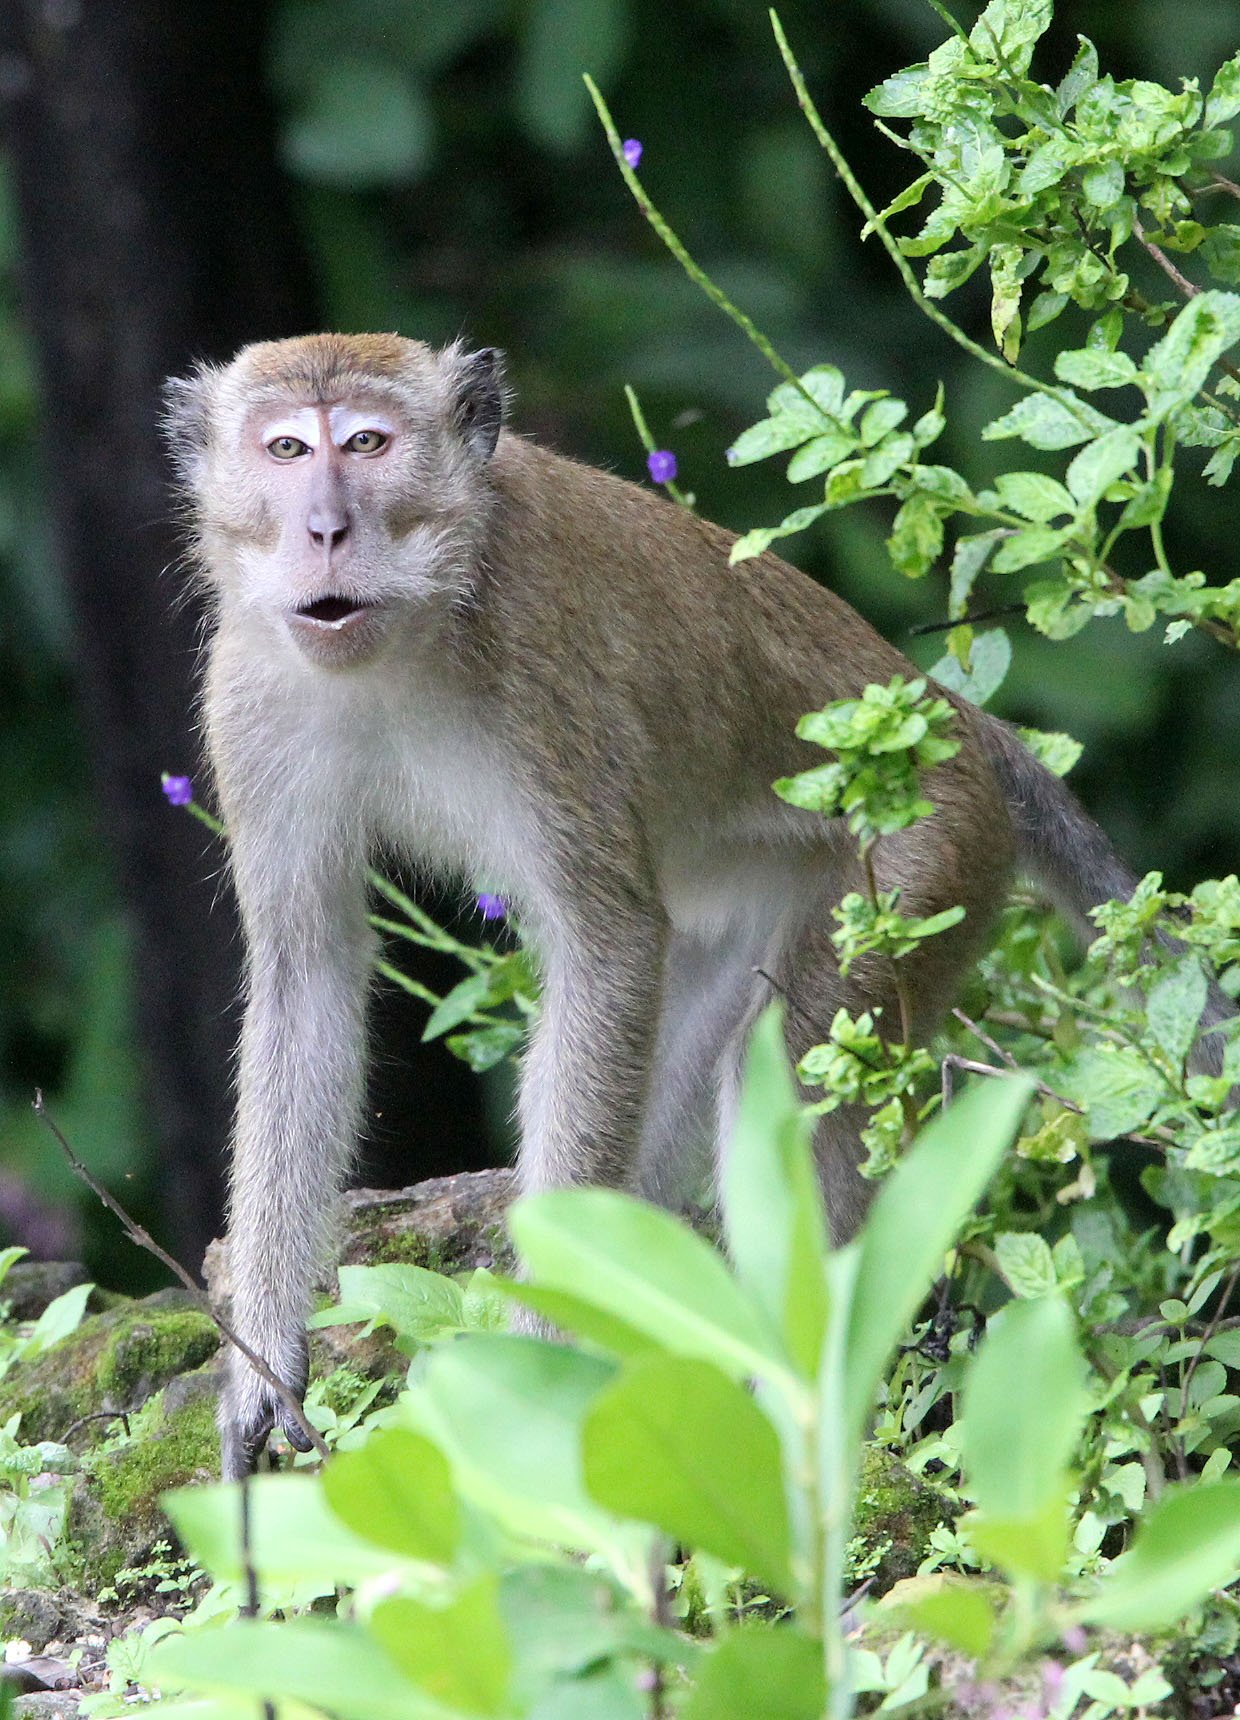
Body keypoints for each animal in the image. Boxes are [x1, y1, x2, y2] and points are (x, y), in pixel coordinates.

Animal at [163, 332, 1147, 1480]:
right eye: (285, 449)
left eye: (366, 443)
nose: (325, 527)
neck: (408, 633)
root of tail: (949, 715)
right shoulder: (250, 694)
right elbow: (308, 973)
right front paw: (264, 1364)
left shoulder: (541, 683)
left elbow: (607, 945)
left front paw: (526, 1388)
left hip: (925, 862)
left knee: (786, 1066)